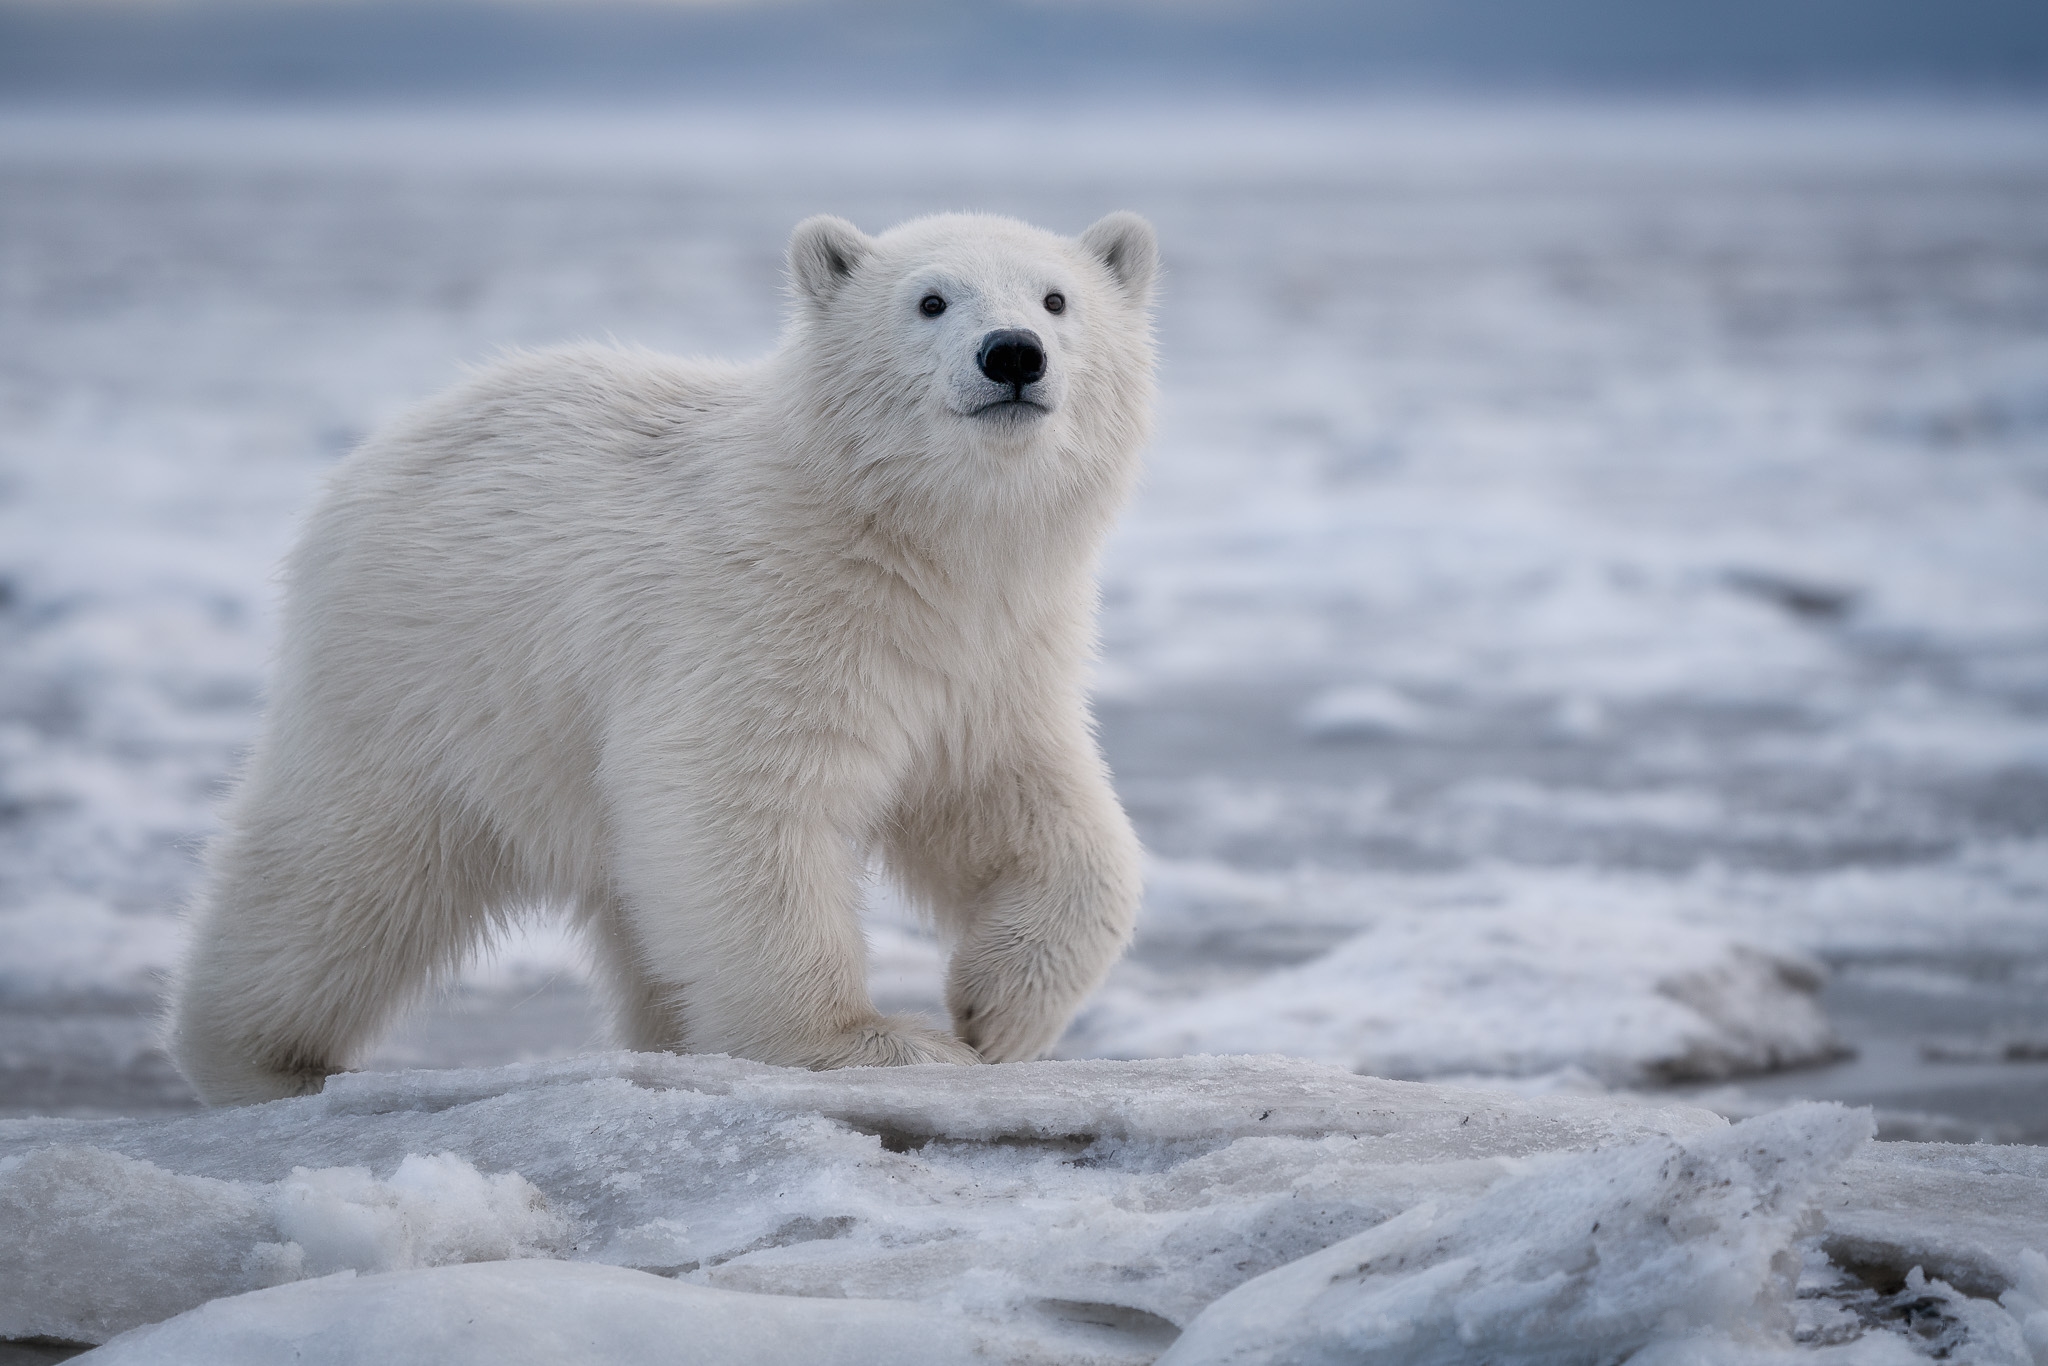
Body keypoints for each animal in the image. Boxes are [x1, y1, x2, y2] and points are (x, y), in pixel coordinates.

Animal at [167, 214, 1163, 1114]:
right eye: (930, 300)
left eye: (1056, 298)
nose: (1013, 354)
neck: (907, 541)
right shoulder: (762, 614)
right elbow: (736, 805)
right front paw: (871, 1042)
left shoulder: (990, 655)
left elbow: (1029, 813)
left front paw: (999, 1012)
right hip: (424, 675)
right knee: (340, 873)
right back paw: (260, 1059)